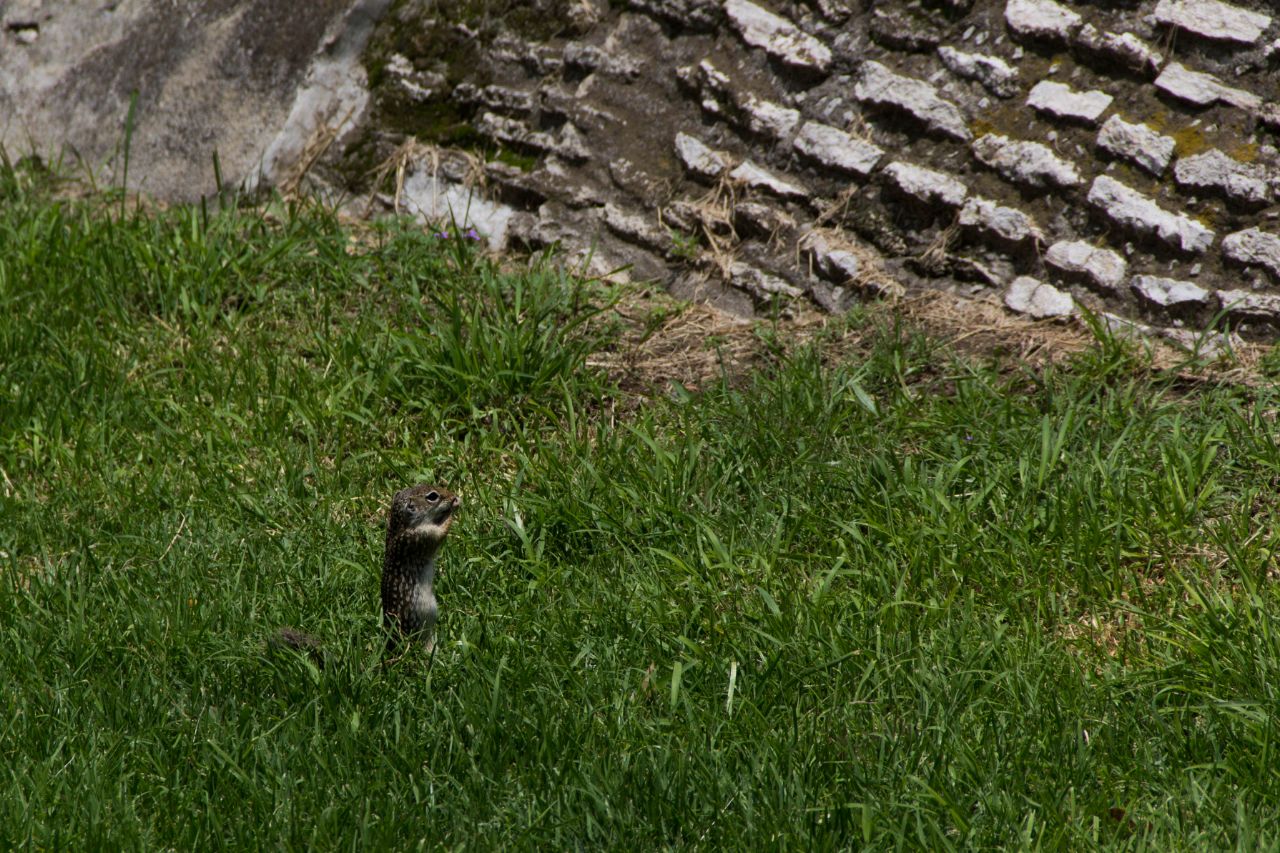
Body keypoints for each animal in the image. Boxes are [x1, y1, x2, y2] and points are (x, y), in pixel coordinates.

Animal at [270, 484, 460, 655]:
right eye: (432, 496)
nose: (453, 496)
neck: (400, 524)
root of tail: (392, 646)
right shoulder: (420, 537)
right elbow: (439, 533)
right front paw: (451, 513)